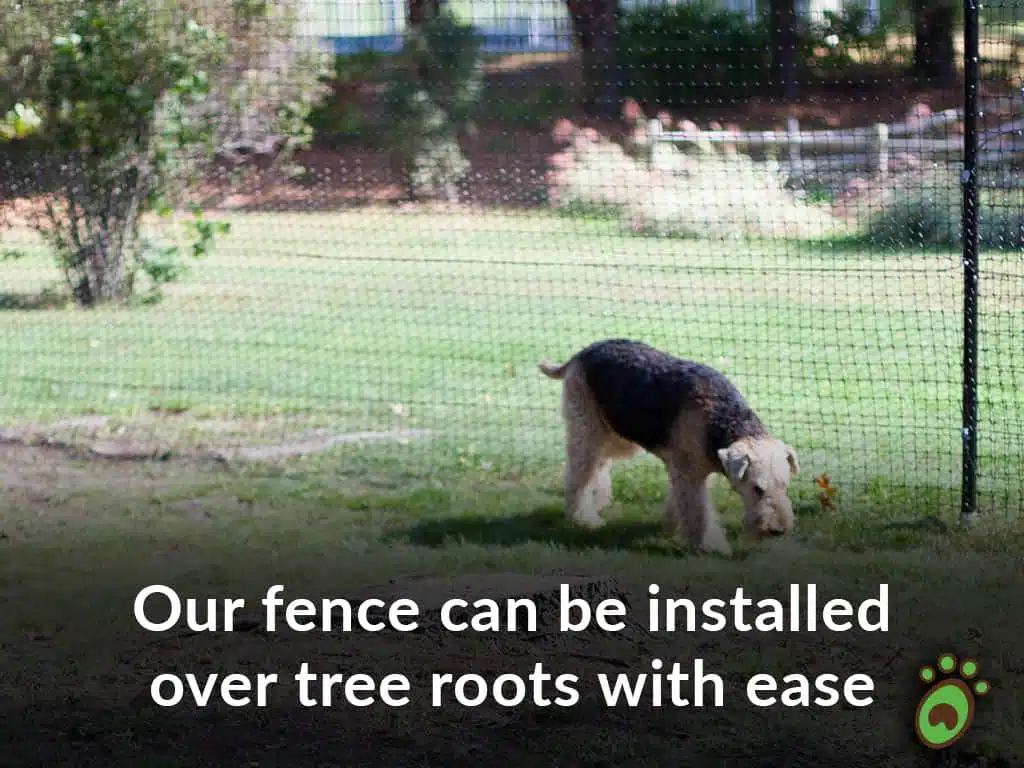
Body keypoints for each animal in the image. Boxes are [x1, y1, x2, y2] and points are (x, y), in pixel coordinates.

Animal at [536, 339, 798, 557]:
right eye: (757, 489)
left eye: (785, 486)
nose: (777, 530)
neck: (722, 417)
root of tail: (581, 354)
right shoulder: (689, 473)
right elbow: (698, 513)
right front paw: (711, 546)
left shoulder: (685, 467)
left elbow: (678, 501)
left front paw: (671, 526)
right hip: (587, 429)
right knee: (578, 474)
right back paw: (584, 518)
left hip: (614, 436)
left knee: (599, 464)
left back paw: (598, 500)